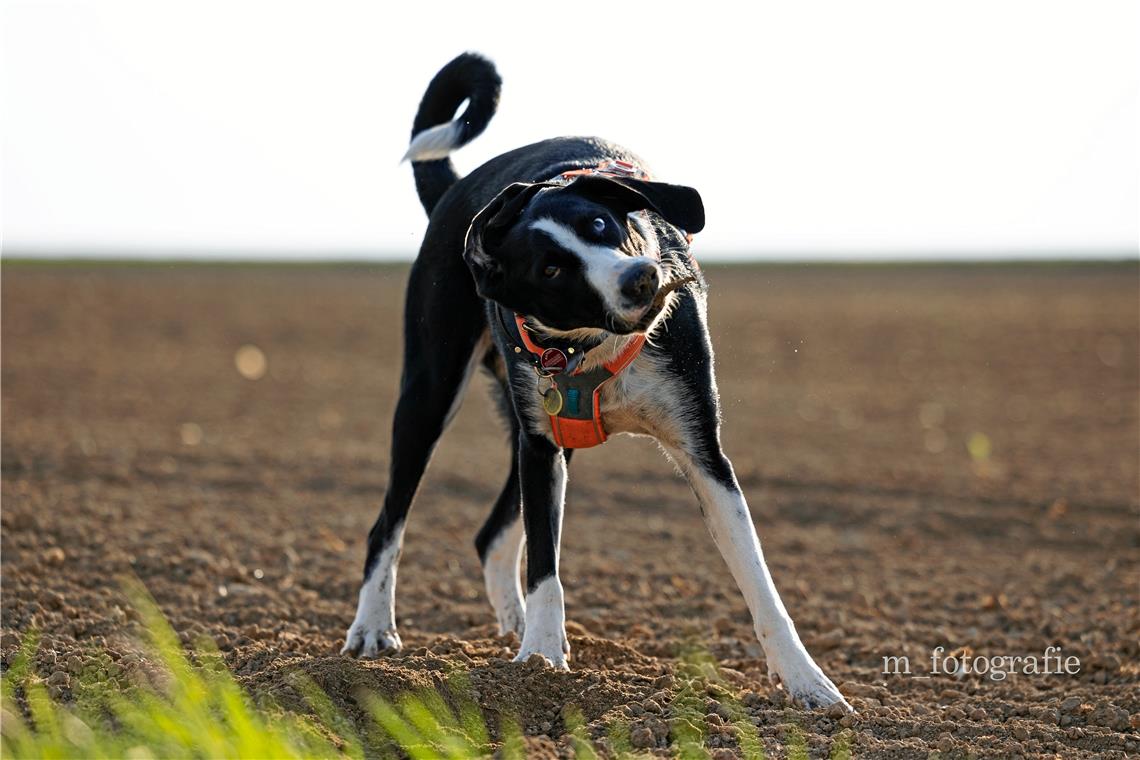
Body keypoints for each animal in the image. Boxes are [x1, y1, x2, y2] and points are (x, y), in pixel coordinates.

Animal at [342, 54, 852, 715]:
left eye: (602, 222)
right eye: (552, 269)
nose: (641, 278)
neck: (595, 343)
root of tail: (457, 190)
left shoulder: (703, 453)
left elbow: (761, 585)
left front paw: (808, 684)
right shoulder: (540, 447)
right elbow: (545, 569)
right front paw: (539, 666)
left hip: (544, 437)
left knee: (491, 536)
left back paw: (510, 625)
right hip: (431, 396)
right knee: (390, 524)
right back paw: (375, 628)